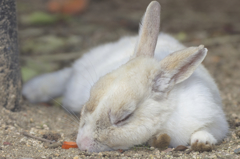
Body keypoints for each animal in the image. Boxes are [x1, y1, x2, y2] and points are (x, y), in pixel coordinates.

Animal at [21, 1, 228, 153]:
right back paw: (32, 90)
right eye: (90, 100)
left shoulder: (214, 119)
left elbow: (207, 130)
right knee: (66, 75)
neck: (167, 116)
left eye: (124, 118)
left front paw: (201, 142)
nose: (82, 144)